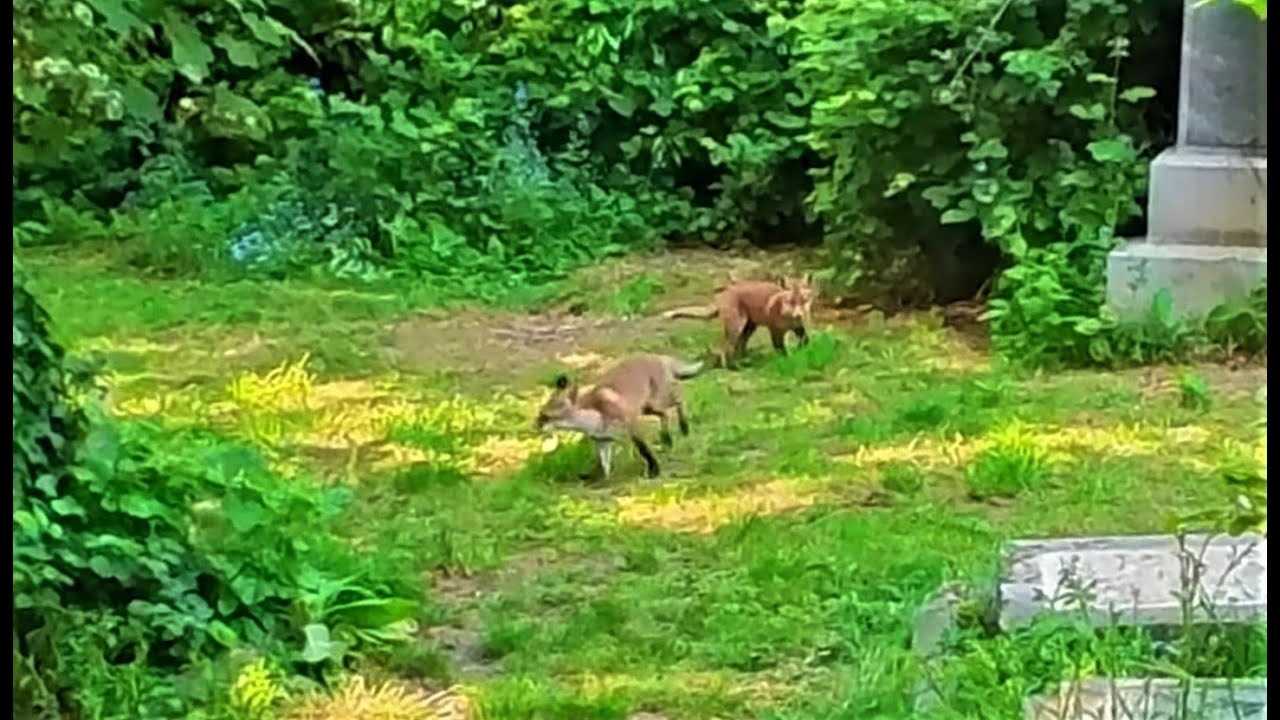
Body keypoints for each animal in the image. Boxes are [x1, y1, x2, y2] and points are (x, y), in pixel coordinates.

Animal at [534, 354, 703, 481]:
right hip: (648, 408)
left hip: (657, 400)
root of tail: (656, 356)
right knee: (665, 414)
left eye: (545, 416)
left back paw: (684, 427)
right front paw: (600, 480)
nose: (534, 426)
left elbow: (644, 450)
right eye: (540, 414)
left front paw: (654, 470)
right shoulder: (603, 441)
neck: (595, 418)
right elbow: (604, 465)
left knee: (680, 397)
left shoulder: (632, 427)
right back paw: (667, 439)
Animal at [661, 274, 815, 368]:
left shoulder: (798, 328)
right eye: (790, 302)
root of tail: (728, 288)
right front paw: (787, 360)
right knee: (725, 348)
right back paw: (732, 367)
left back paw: (744, 360)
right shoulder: (775, 330)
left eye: (804, 301)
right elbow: (781, 349)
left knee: (739, 345)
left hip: (749, 327)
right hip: (736, 326)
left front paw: (801, 352)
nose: (799, 315)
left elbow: (805, 341)